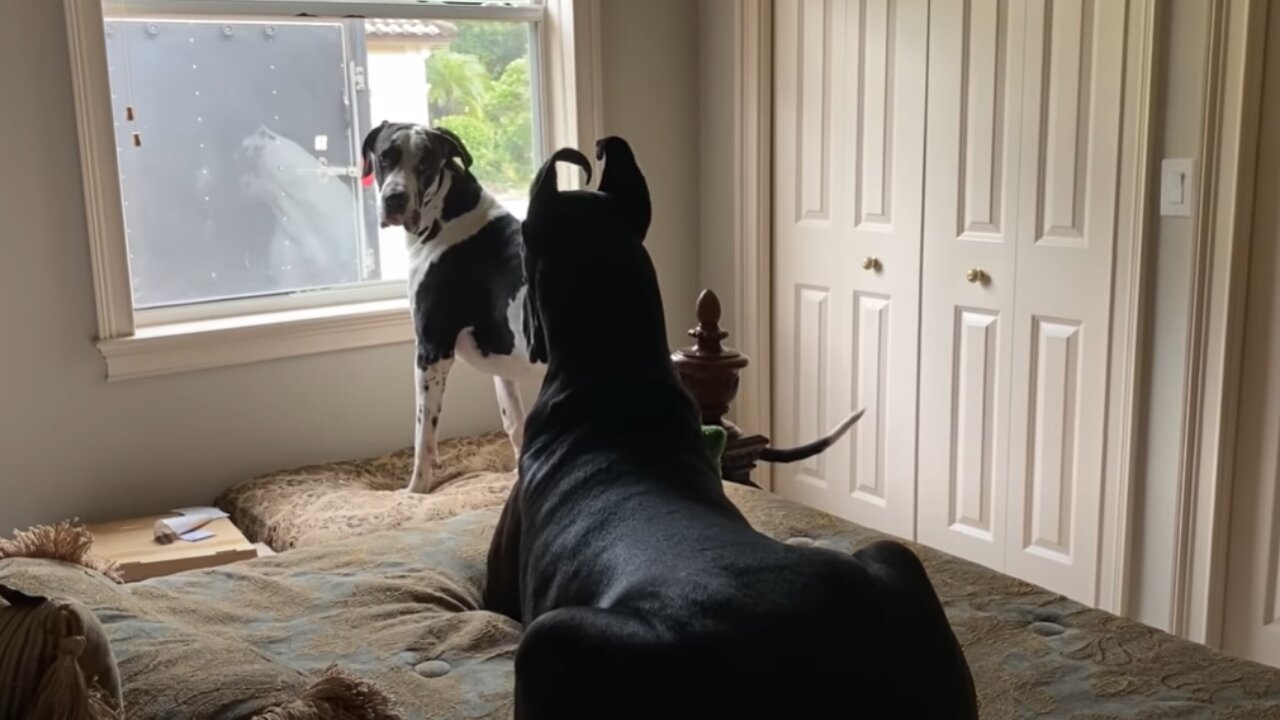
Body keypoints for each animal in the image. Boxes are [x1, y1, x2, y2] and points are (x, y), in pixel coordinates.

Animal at [360, 122, 540, 491]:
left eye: (425, 163)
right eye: (385, 156)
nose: (395, 198)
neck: (448, 218)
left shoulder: (431, 352)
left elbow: (424, 436)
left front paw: (416, 491)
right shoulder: (504, 364)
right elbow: (515, 423)